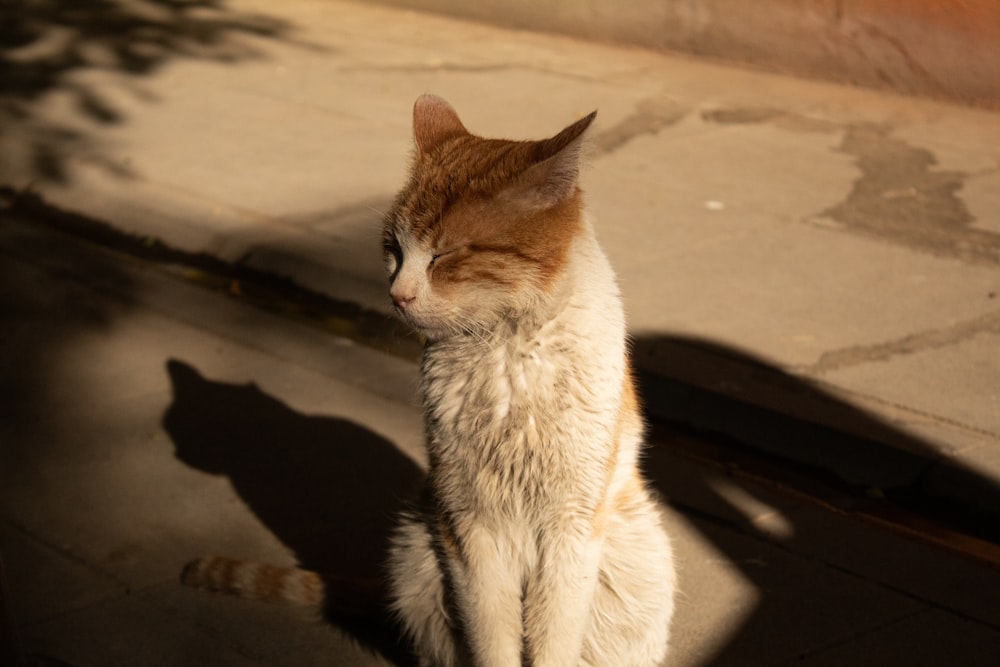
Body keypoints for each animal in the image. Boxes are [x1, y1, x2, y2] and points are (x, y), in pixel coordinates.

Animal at [384, 95, 680, 667]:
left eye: (445, 254)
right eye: (393, 250)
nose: (397, 295)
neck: (507, 352)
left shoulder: (571, 527)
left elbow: (553, 639)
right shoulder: (469, 527)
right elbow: (492, 639)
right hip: (416, 552)